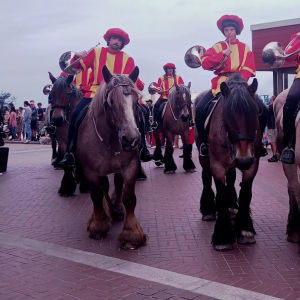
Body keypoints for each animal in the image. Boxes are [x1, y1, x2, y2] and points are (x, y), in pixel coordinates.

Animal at [58, 66, 146, 251]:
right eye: (110, 102)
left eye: (136, 102)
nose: (132, 139)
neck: (110, 138)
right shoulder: (90, 171)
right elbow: (97, 195)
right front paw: (99, 225)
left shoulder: (130, 167)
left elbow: (129, 198)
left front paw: (131, 234)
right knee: (103, 188)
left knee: (117, 185)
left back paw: (117, 210)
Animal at [195, 73, 260, 251]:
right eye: (227, 117)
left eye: (255, 113)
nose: (244, 159)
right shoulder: (217, 165)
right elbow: (221, 194)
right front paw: (223, 236)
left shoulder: (252, 165)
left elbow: (246, 194)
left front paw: (244, 229)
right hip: (204, 158)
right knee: (205, 178)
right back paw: (208, 209)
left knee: (231, 179)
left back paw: (232, 207)